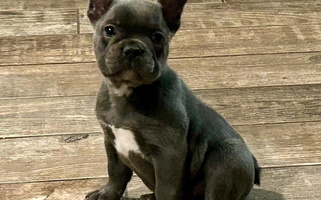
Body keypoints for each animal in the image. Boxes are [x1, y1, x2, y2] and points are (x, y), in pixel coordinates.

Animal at [85, 0, 260, 200]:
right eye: (109, 30)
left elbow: (166, 188)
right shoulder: (110, 140)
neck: (129, 92)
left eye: (157, 37)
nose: (132, 49)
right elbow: (115, 172)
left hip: (229, 156)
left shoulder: (168, 154)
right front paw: (107, 193)